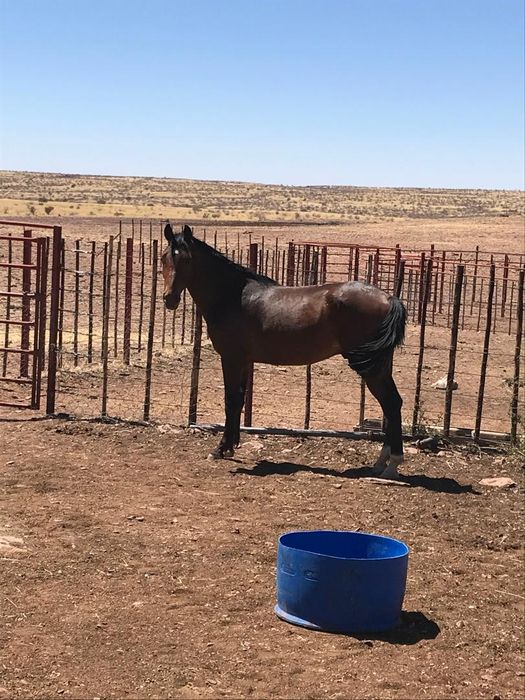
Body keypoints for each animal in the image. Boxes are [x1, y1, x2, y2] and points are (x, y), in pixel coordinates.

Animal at [162, 224, 407, 479]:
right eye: (164, 258)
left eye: (187, 260)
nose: (169, 299)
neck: (232, 296)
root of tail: (389, 298)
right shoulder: (244, 361)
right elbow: (239, 399)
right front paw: (232, 445)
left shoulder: (231, 358)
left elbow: (230, 399)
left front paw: (220, 448)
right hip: (380, 365)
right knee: (391, 404)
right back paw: (381, 462)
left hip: (370, 367)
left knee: (390, 403)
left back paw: (391, 465)